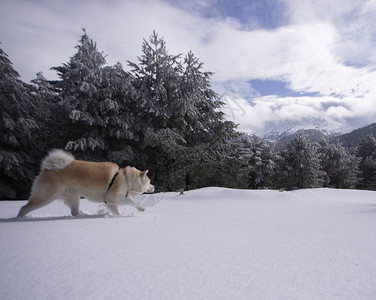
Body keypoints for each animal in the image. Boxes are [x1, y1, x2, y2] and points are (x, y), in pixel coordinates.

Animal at [17, 149, 155, 217]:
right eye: (149, 181)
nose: (153, 187)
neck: (126, 178)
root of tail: (47, 168)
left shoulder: (111, 201)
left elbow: (117, 210)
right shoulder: (113, 197)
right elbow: (131, 201)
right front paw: (141, 208)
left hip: (73, 197)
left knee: (74, 212)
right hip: (45, 197)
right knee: (24, 208)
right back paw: (19, 218)